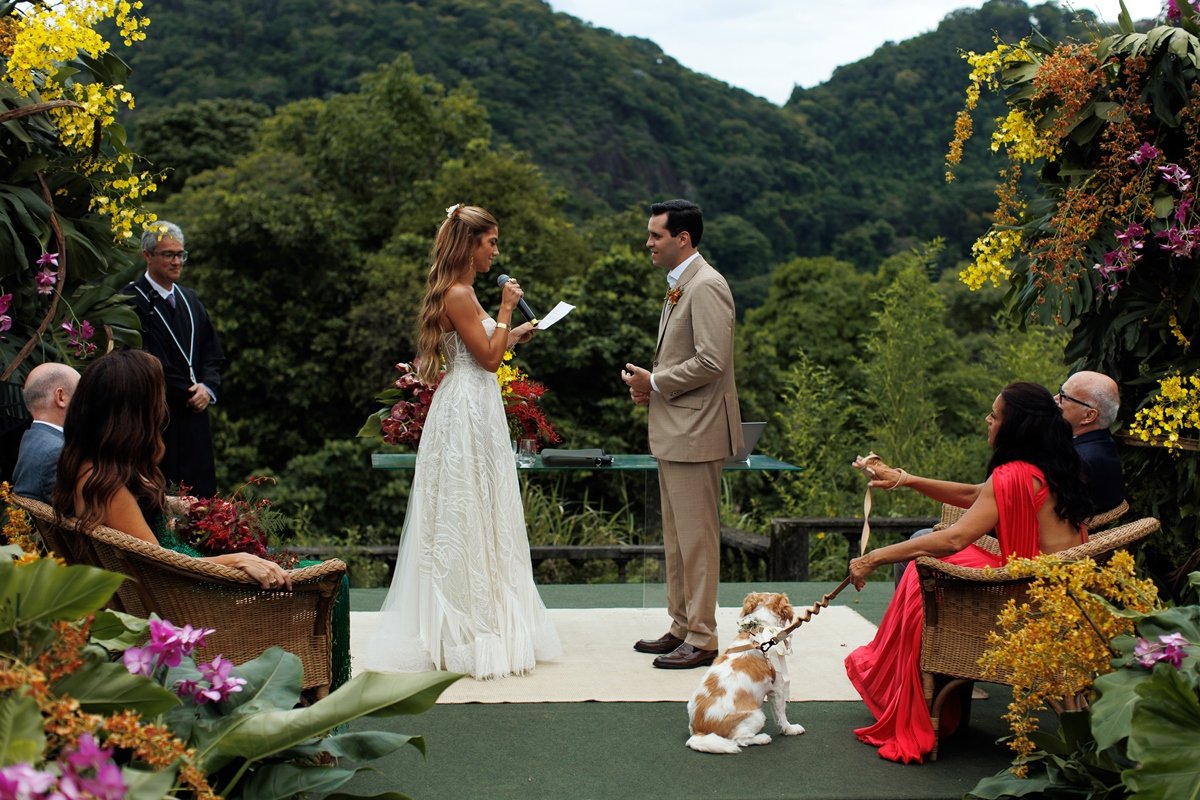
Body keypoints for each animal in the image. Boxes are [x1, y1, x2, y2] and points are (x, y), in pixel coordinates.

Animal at [686, 592, 806, 753]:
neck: (761, 628)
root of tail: (699, 732)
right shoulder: (778, 689)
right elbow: (781, 714)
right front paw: (789, 729)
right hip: (756, 715)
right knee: (740, 740)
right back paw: (762, 738)